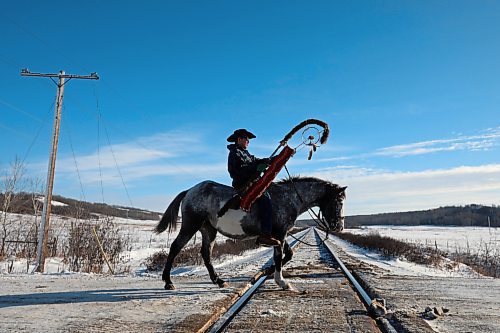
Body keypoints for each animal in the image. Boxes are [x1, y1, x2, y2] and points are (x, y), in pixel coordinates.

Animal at [154, 175, 346, 290]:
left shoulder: (280, 236)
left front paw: (269, 271)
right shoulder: (280, 234)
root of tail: (189, 191)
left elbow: (288, 254)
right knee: (175, 247)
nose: (339, 226)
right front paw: (282, 281)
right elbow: (279, 256)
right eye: (338, 201)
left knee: (206, 253)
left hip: (208, 229)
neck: (289, 198)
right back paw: (168, 282)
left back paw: (218, 280)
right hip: (190, 225)